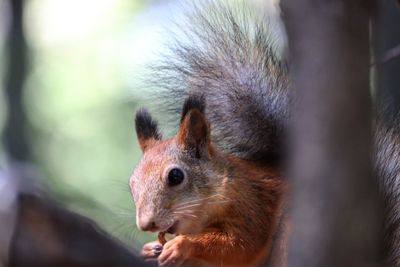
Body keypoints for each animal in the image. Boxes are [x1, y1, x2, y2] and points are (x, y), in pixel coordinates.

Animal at [131, 2, 290, 267]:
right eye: (132, 183)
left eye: (175, 176)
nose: (146, 224)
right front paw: (149, 248)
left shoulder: (251, 203)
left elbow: (241, 244)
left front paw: (182, 245)